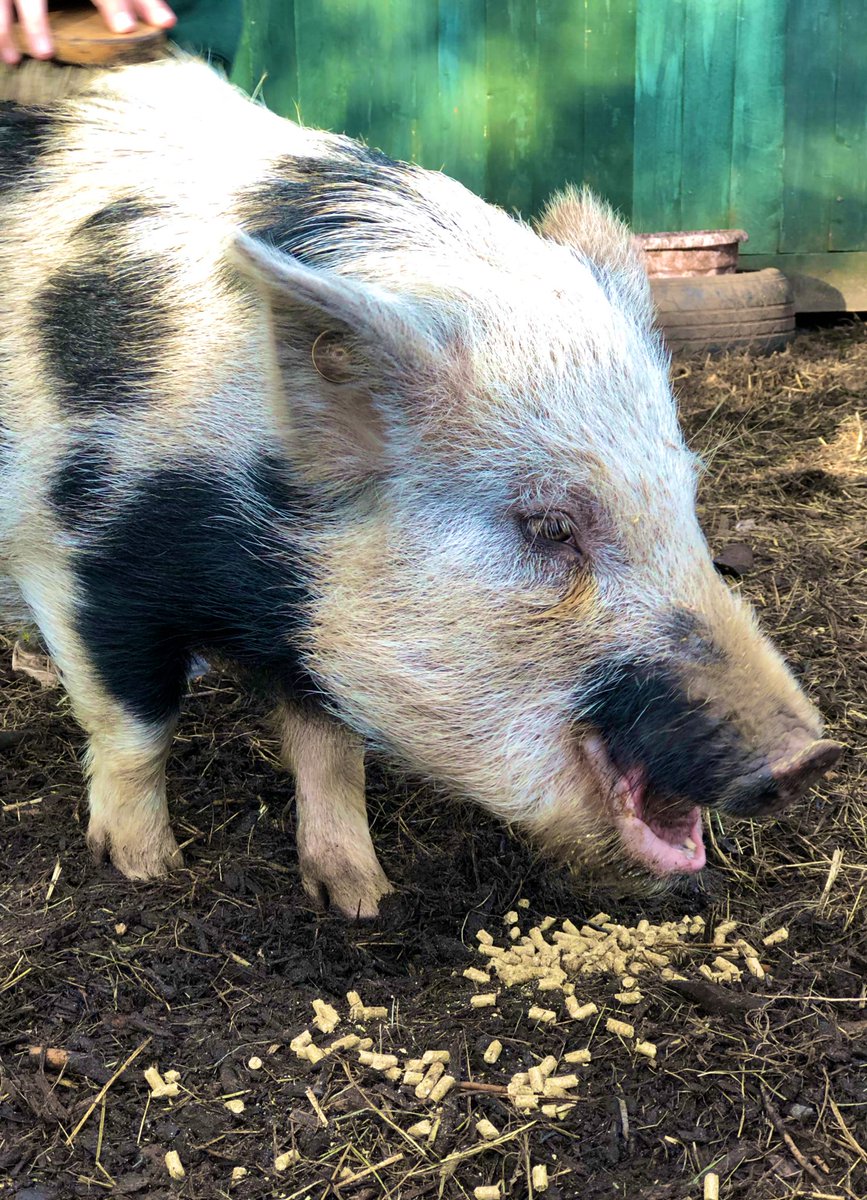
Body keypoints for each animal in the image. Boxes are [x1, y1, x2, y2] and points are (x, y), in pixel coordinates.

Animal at [0, 57, 841, 917]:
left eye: (686, 497)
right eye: (547, 525)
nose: (811, 756)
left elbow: (330, 747)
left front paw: (361, 898)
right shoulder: (77, 552)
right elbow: (134, 725)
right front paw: (148, 871)